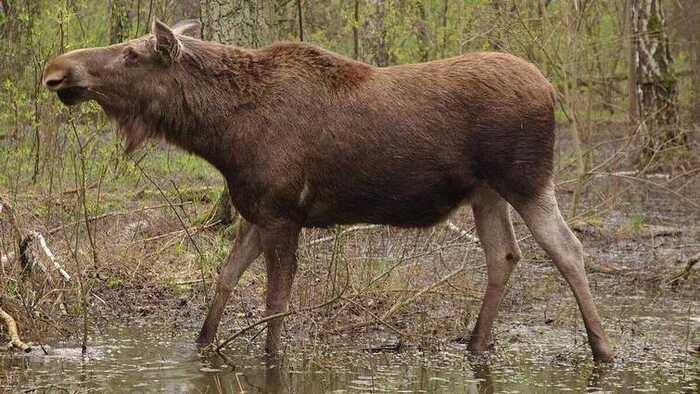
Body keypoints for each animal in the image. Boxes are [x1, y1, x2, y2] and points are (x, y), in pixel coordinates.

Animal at [42, 20, 612, 362]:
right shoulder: (257, 211)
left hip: (527, 179)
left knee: (568, 249)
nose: (56, 70)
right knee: (504, 255)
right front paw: (202, 347)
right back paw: (476, 344)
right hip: (485, 192)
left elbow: (274, 302)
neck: (220, 135)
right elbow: (225, 279)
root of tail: (551, 88)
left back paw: (601, 348)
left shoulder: (282, 214)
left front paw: (270, 357)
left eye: (132, 53)